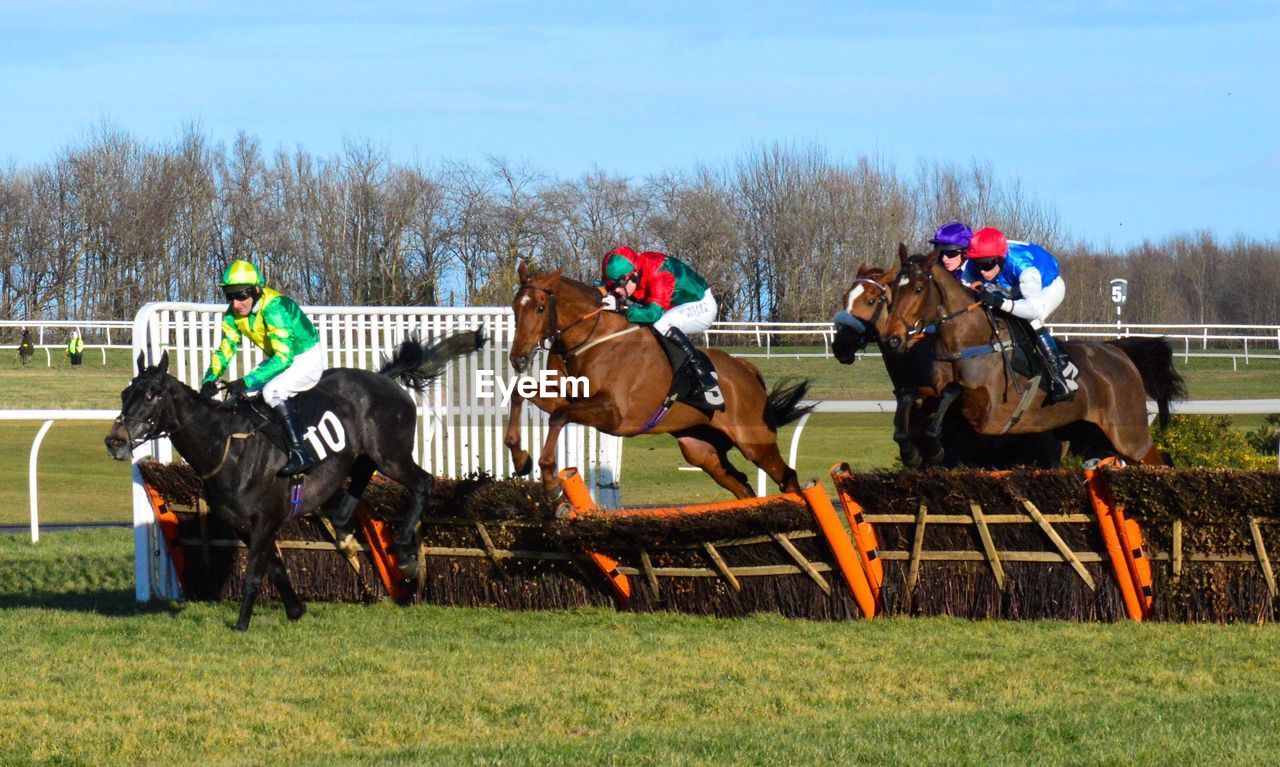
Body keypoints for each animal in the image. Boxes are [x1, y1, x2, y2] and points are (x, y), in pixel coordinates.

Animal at [104, 332, 481, 632]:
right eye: (124, 393)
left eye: (152, 394)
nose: (115, 441)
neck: (228, 447)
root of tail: (385, 379)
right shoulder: (245, 523)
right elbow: (275, 568)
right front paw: (296, 609)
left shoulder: (264, 518)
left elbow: (255, 574)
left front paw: (241, 624)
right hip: (362, 454)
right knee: (360, 479)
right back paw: (344, 531)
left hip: (391, 455)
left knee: (423, 483)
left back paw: (405, 556)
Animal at [501, 261, 808, 501]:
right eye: (516, 307)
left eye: (541, 308)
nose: (518, 358)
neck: (590, 338)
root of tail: (745, 368)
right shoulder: (568, 396)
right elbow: (521, 393)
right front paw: (520, 458)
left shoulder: (613, 413)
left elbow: (559, 417)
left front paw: (550, 479)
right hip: (702, 449)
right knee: (741, 486)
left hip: (754, 441)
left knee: (787, 477)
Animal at [875, 245, 1182, 466]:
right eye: (892, 290)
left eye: (917, 289)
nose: (892, 338)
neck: (967, 341)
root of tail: (1118, 351)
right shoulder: (933, 393)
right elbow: (911, 394)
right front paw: (911, 450)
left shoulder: (991, 413)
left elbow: (953, 390)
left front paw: (933, 447)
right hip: (1087, 433)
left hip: (1129, 434)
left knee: (1159, 460)